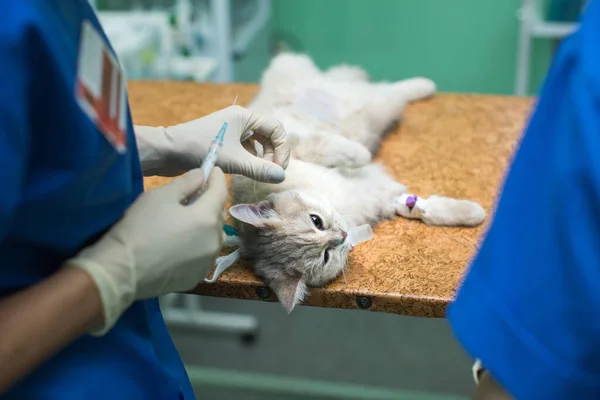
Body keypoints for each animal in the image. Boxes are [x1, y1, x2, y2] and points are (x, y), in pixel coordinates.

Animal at [211, 53, 488, 314]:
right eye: (326, 256)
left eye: (316, 221)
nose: (342, 236)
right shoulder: (383, 198)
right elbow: (421, 208)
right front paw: (472, 214)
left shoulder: (292, 149)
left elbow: (339, 149)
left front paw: (360, 153)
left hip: (363, 99)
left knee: (391, 88)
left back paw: (424, 84)